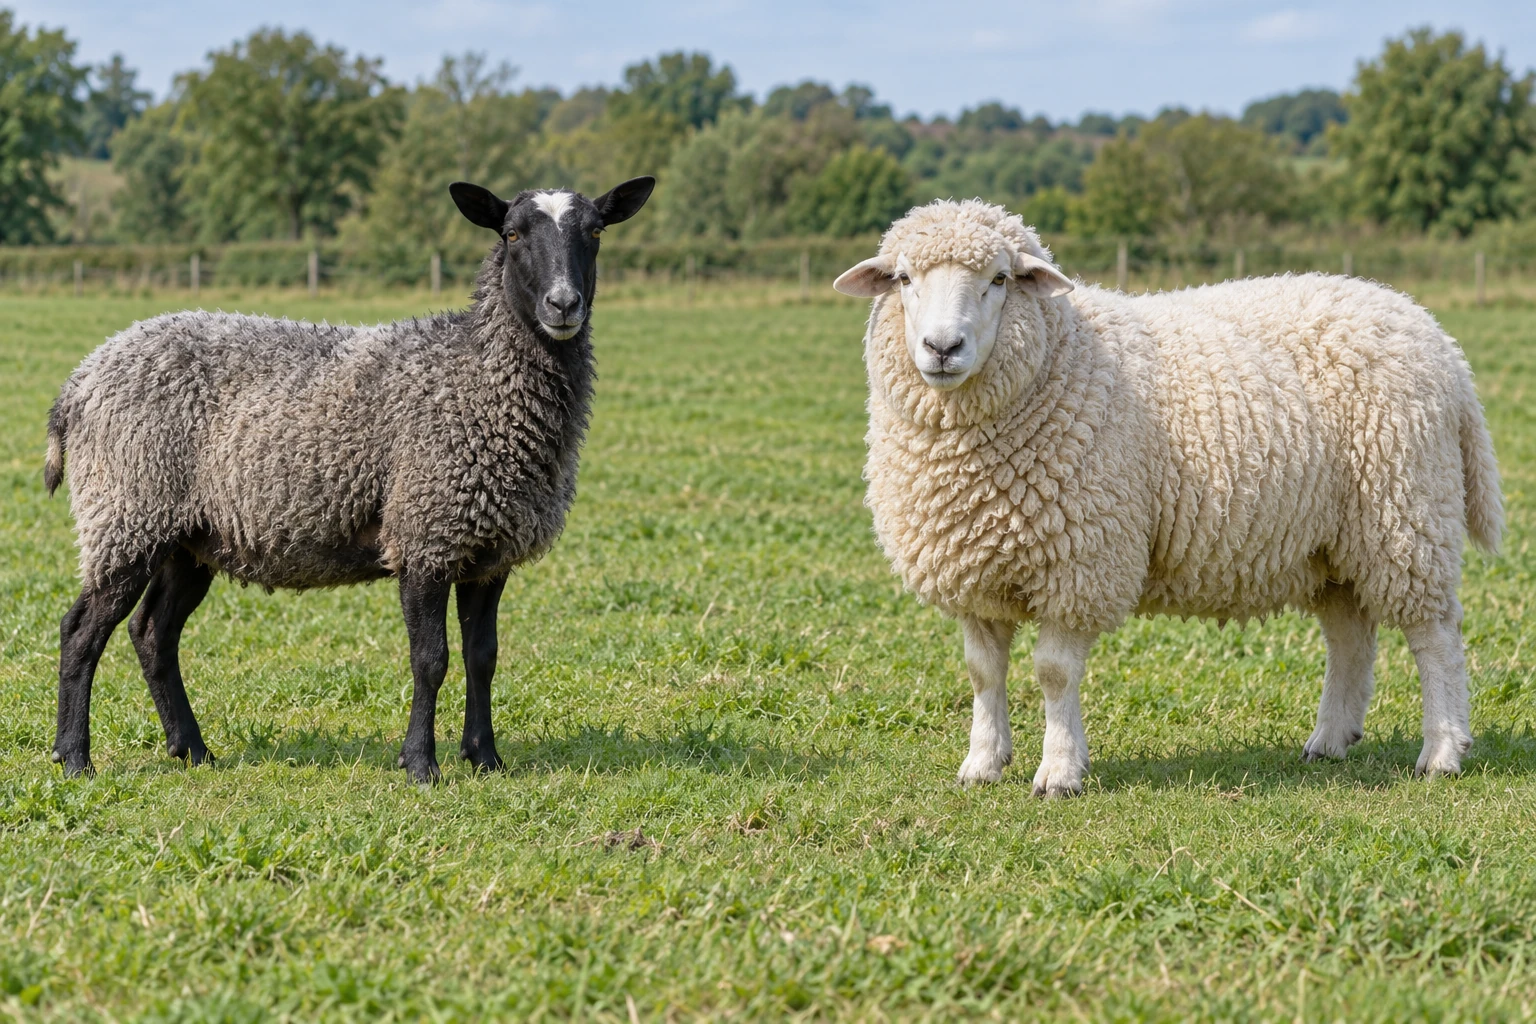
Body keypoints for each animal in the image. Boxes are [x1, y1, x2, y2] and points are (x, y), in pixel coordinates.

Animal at [43, 175, 656, 783]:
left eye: (595, 232)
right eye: (511, 234)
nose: (563, 304)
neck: (475, 375)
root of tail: (78, 383)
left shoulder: (487, 548)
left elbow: (483, 657)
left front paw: (486, 759)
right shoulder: (425, 534)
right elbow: (431, 660)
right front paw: (421, 765)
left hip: (187, 537)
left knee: (152, 633)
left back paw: (192, 749)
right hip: (127, 510)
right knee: (81, 631)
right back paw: (74, 759)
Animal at [834, 199, 1503, 796]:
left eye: (999, 279)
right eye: (903, 279)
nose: (942, 349)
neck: (1058, 359)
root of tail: (1435, 336)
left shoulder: (1083, 562)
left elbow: (1053, 672)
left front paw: (1060, 772)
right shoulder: (973, 567)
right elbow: (982, 672)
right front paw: (982, 764)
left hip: (1407, 513)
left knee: (1436, 637)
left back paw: (1442, 752)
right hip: (1334, 539)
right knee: (1349, 637)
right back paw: (1330, 740)